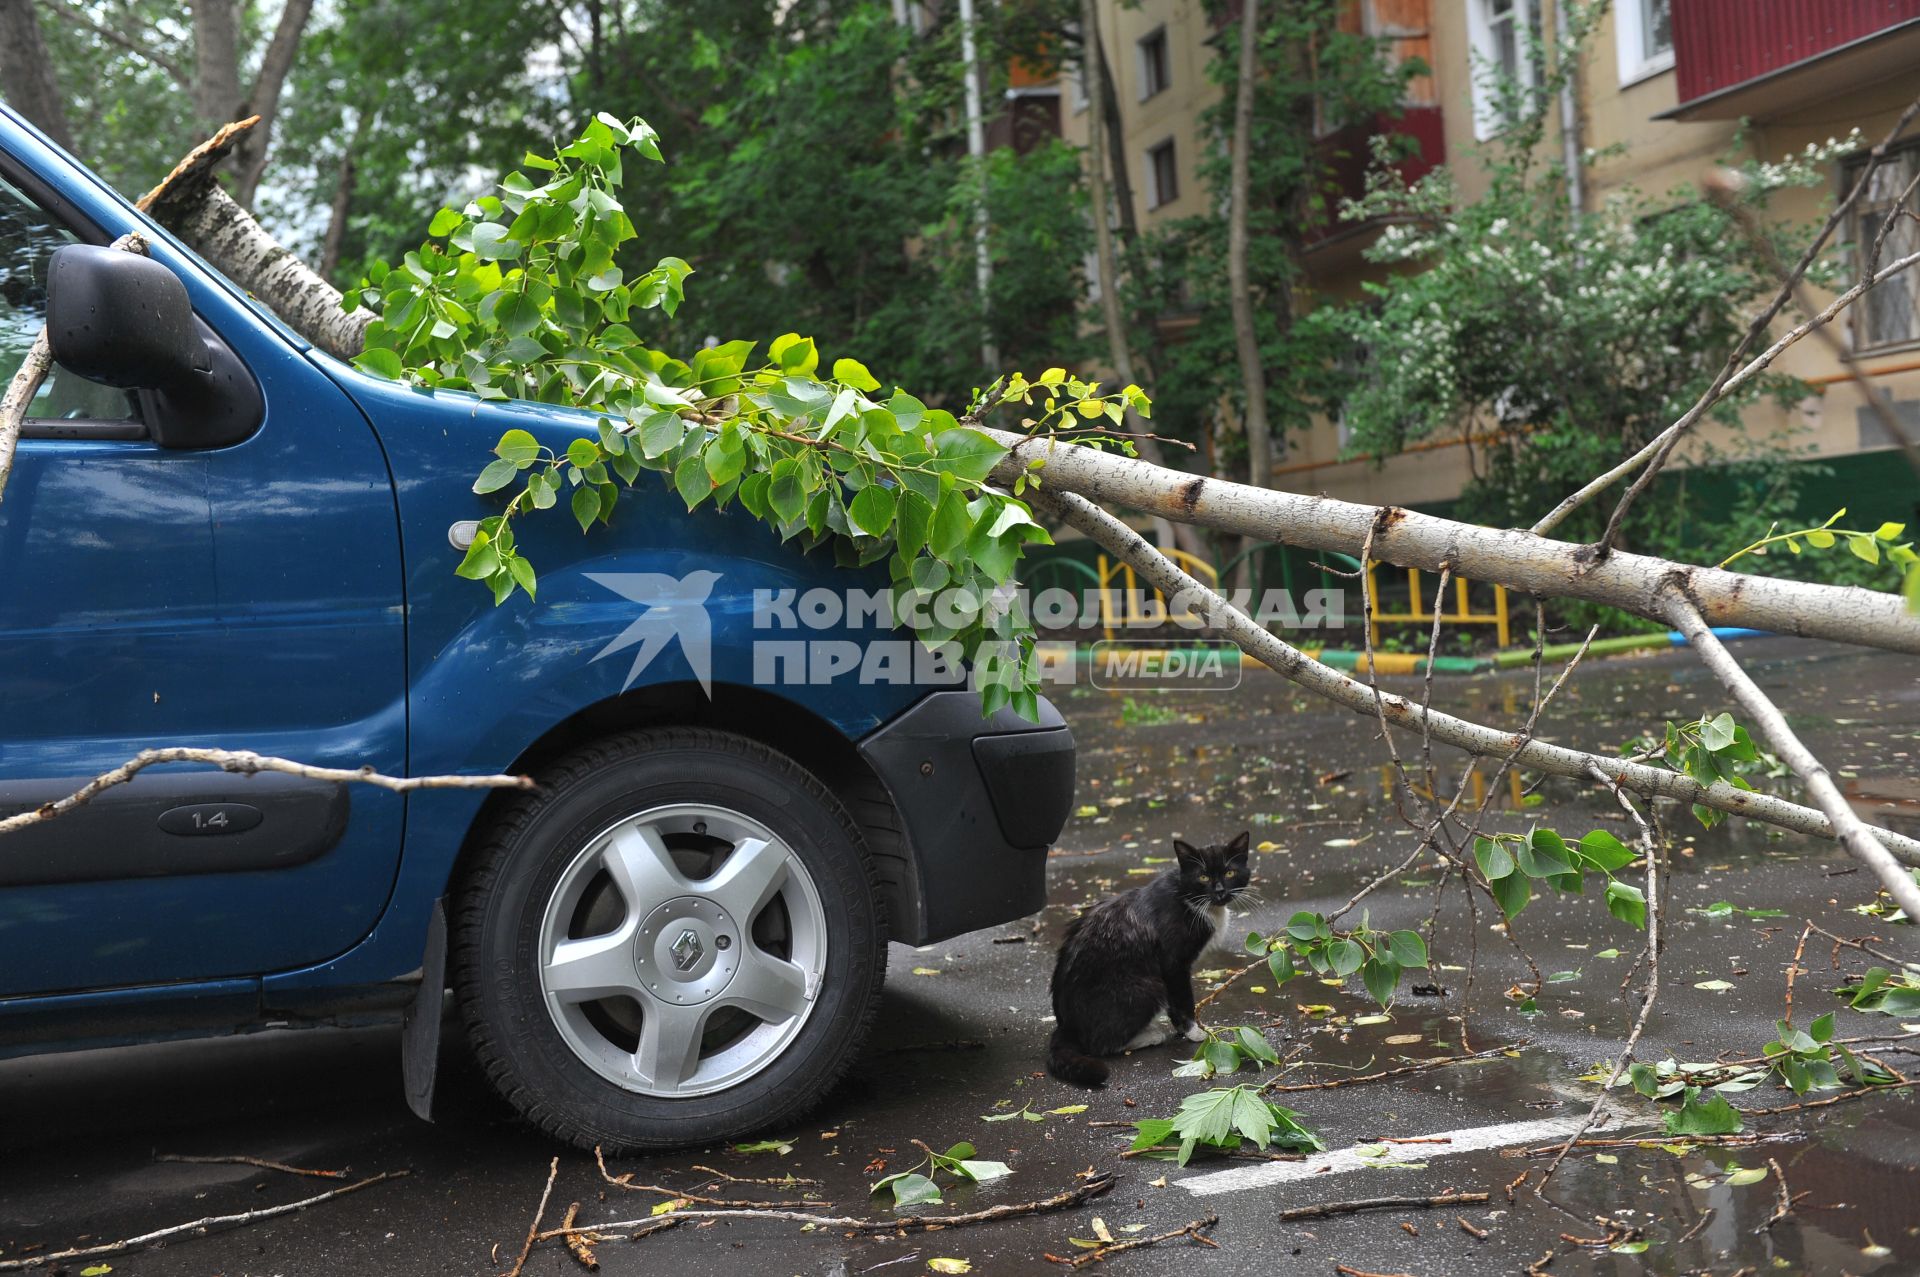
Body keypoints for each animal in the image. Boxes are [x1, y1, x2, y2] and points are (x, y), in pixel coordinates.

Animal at [1044, 837, 1251, 1083]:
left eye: (1230, 872)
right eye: (1203, 877)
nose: (1220, 891)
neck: (1187, 896)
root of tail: (1066, 1026)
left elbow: (1175, 1004)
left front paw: (1182, 1030)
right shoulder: (1174, 965)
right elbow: (1183, 1000)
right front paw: (1194, 1032)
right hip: (1147, 986)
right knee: (1099, 1044)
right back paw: (1149, 1036)